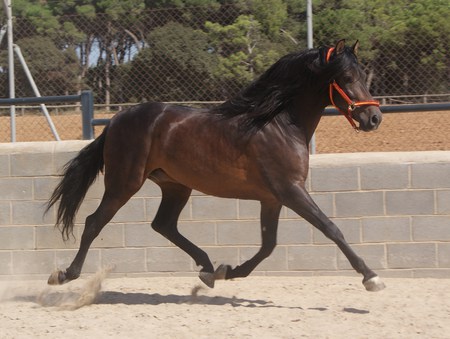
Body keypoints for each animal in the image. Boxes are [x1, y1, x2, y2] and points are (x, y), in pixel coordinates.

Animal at [45, 40, 384, 292]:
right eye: (347, 78)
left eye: (360, 75)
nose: (374, 118)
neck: (279, 124)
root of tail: (116, 120)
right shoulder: (291, 191)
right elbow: (330, 228)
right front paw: (371, 276)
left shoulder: (272, 198)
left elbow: (268, 245)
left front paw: (227, 271)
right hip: (124, 182)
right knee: (94, 222)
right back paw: (65, 274)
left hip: (175, 185)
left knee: (163, 225)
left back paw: (207, 268)